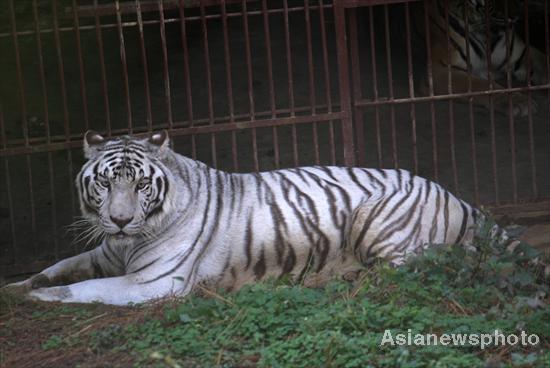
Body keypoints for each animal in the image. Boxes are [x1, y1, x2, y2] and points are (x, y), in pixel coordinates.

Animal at [2, 132, 532, 304]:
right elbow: (59, 266)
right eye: (106, 184)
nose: (118, 219)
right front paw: (15, 287)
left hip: (381, 222)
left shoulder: (153, 283)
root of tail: (454, 194)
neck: (129, 242)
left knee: (410, 271)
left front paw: (39, 298)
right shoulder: (107, 252)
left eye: (141, 185)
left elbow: (82, 287)